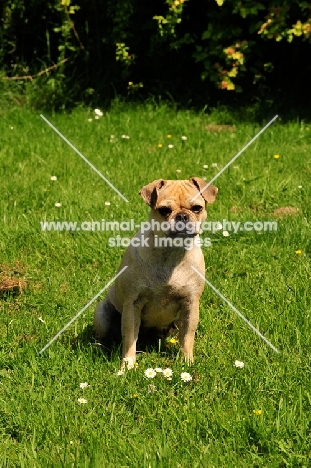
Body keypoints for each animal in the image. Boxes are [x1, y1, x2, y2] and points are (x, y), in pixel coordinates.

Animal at [94, 177, 218, 368]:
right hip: (102, 314)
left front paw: (186, 361)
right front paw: (128, 365)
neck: (171, 253)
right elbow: (129, 338)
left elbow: (187, 337)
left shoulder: (190, 305)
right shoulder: (133, 305)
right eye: (164, 210)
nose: (182, 216)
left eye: (197, 208)